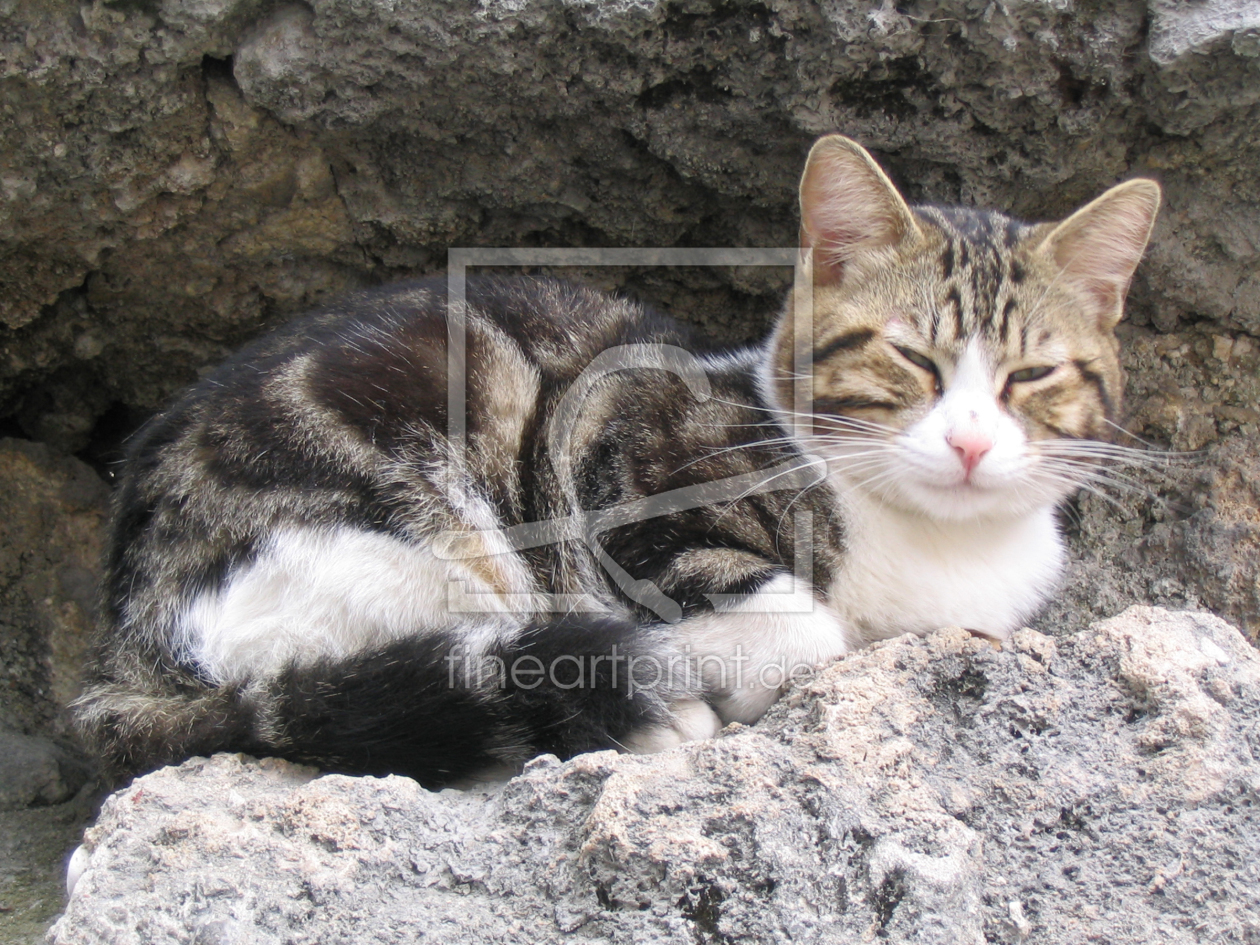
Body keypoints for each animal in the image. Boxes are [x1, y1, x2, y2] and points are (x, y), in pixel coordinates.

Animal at [73, 138, 1159, 791]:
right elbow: (798, 622)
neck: (933, 547)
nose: (971, 442)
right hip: (388, 536)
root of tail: (123, 632)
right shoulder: (616, 449)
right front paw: (712, 676)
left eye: (1034, 375)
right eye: (911, 359)